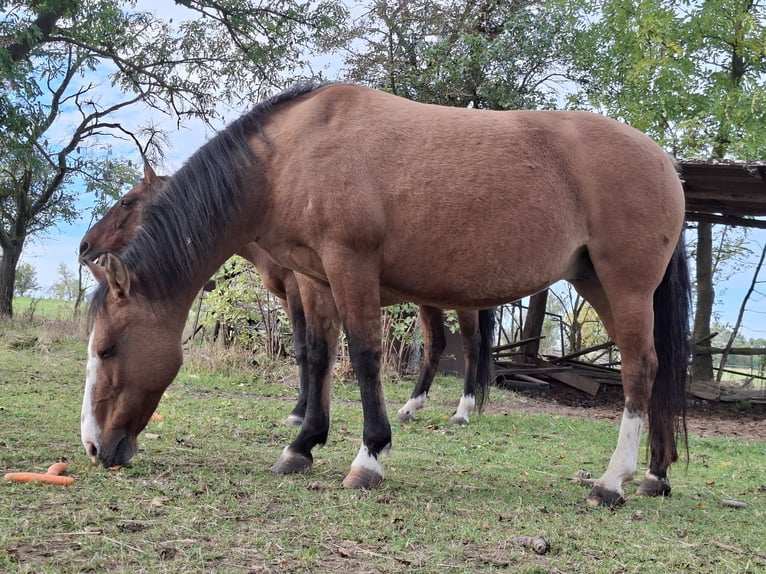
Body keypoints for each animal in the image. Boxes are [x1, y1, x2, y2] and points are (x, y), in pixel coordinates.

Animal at [79, 164, 494, 427]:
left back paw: (463, 410)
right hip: (429, 300)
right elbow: (309, 350)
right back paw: (411, 407)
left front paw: (298, 412)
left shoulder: (300, 291)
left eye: (127, 201)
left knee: (470, 346)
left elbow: (304, 350)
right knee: (436, 344)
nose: (85, 245)